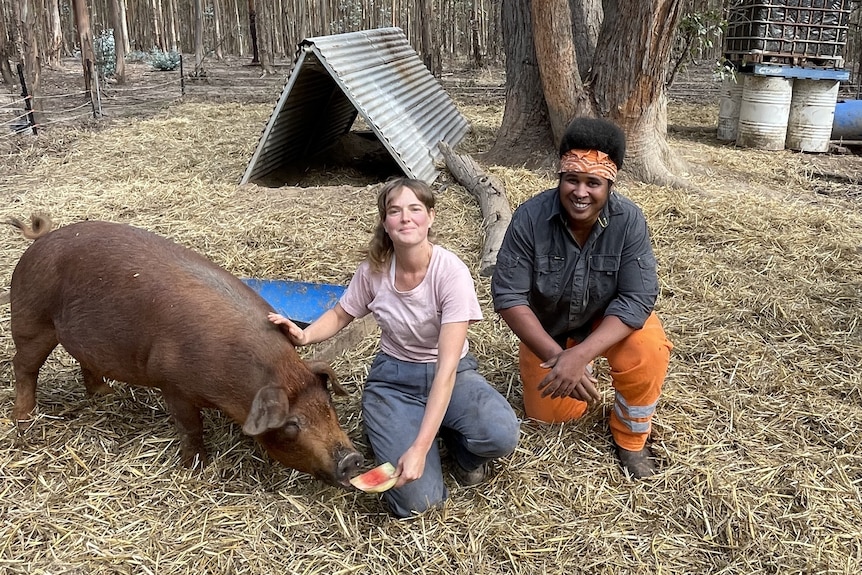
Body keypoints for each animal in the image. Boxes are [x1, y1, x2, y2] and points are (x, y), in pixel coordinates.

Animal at [4, 215, 362, 486]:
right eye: (291, 426)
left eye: (329, 406)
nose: (352, 458)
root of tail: (39, 241)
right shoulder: (172, 383)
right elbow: (191, 426)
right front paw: (195, 466)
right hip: (31, 321)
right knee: (23, 366)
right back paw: (23, 418)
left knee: (84, 361)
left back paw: (106, 395)